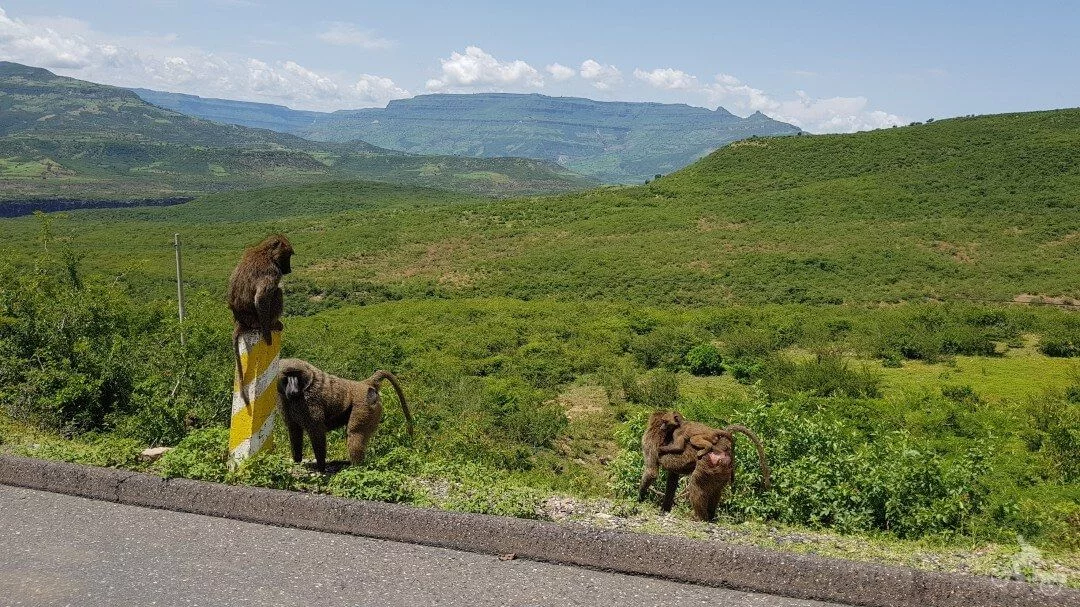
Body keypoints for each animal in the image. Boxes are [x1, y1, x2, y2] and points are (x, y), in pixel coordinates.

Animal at [228, 234, 293, 406]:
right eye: (288, 256)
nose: (289, 269)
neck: (265, 253)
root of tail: (240, 322)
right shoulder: (273, 271)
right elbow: (261, 298)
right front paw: (267, 335)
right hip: (256, 321)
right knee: (277, 292)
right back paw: (274, 324)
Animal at [276, 358, 414, 472]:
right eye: (287, 375)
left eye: (296, 375)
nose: (293, 391)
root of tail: (364, 383)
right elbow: (294, 430)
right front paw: (297, 462)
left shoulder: (309, 403)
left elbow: (317, 432)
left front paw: (321, 468)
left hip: (364, 405)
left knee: (354, 433)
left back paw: (355, 468)